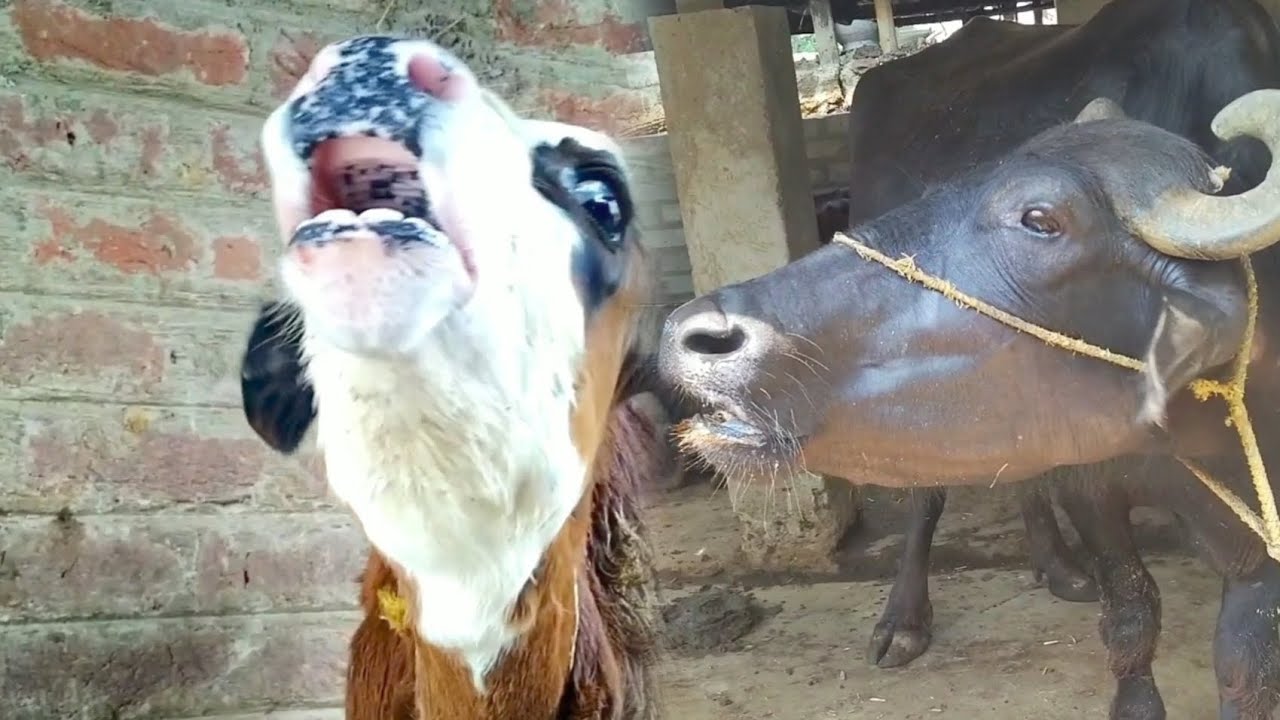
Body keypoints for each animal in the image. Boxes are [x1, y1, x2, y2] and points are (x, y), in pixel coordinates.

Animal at [657, 82, 1280, 720]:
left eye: (1040, 219)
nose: (696, 333)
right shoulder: (1092, 491)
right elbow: (1133, 612)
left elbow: (1243, 663)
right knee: (928, 499)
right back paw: (905, 620)